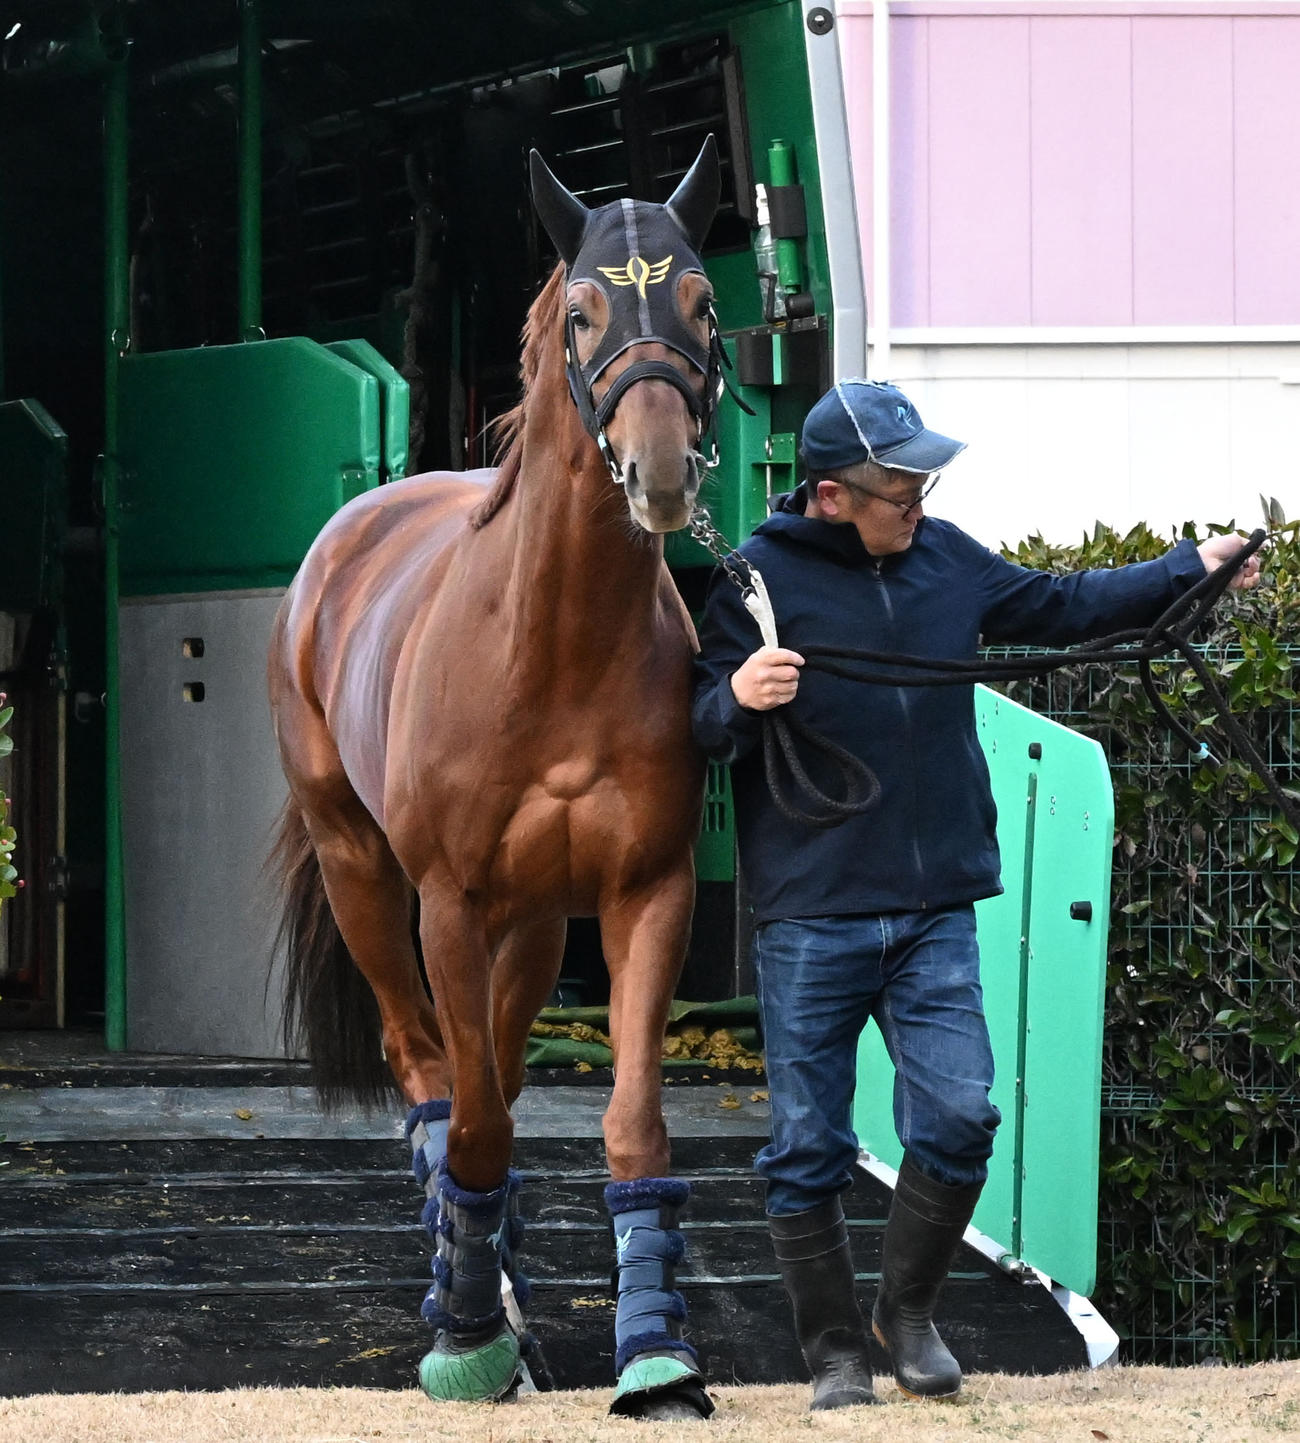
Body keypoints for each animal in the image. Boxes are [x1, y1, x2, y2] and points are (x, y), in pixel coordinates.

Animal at [267, 138, 724, 1418]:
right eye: (580, 313)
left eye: (701, 301)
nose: (661, 472)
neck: (554, 645)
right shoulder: (450, 907)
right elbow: (467, 1127)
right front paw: (466, 1335)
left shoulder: (645, 896)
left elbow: (628, 1125)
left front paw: (656, 1353)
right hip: (365, 876)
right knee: (432, 1076)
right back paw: (464, 1284)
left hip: (530, 926)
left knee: (504, 1081)